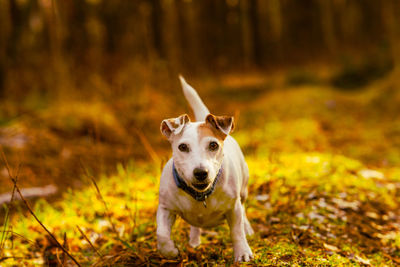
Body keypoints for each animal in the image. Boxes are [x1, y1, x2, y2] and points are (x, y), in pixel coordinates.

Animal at [156, 76, 253, 262]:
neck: (200, 195)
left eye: (213, 145)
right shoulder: (165, 208)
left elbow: (237, 232)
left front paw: (242, 252)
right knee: (195, 226)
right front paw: (171, 251)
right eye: (183, 147)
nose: (200, 173)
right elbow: (162, 236)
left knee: (244, 212)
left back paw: (248, 229)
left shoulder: (233, 208)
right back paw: (194, 241)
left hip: (243, 191)